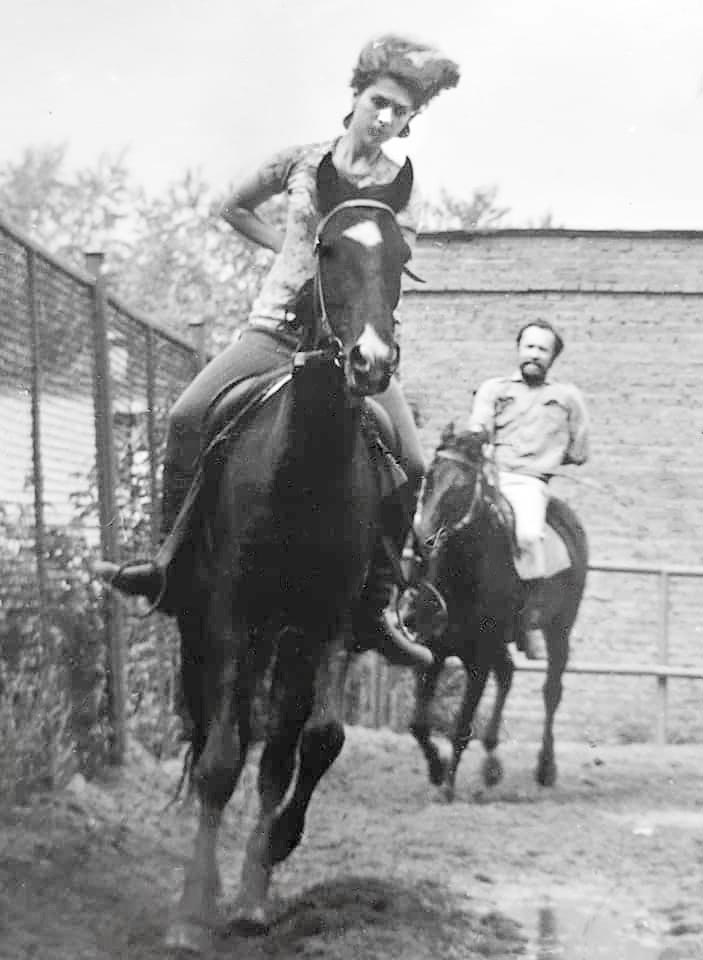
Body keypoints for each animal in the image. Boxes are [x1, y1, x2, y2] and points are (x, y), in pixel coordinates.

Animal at [165, 166, 421, 952]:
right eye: (326, 248)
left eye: (402, 256)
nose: (371, 362)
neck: (301, 471)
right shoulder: (230, 617)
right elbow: (221, 758)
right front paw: (193, 911)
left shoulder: (327, 623)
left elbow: (316, 741)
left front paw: (266, 868)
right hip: (207, 629)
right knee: (216, 738)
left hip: (286, 644)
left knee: (275, 749)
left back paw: (249, 892)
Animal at [409, 423, 588, 801]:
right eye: (430, 476)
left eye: (463, 487)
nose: (423, 537)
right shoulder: (434, 649)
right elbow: (418, 724)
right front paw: (436, 770)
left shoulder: (479, 658)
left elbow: (462, 725)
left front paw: (447, 787)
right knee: (507, 673)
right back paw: (492, 763)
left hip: (559, 631)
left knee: (551, 691)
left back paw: (545, 768)